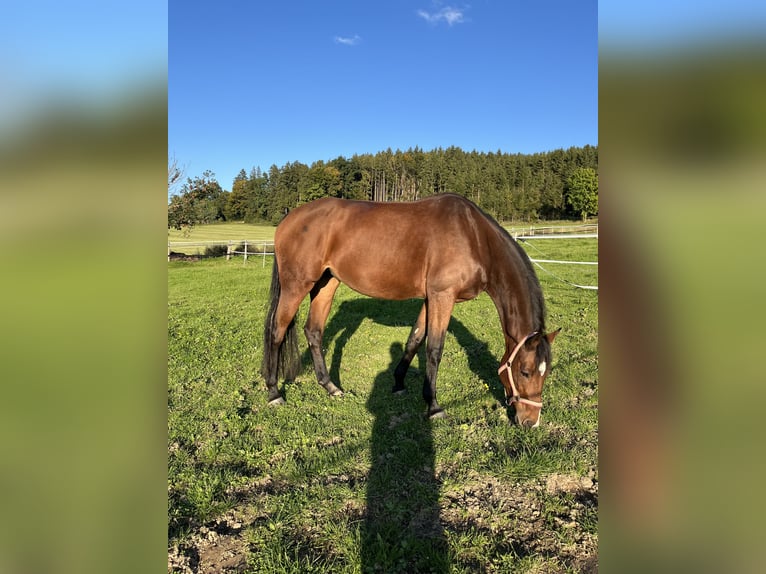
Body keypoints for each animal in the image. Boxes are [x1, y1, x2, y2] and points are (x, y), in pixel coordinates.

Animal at [260, 193, 559, 427]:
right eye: (525, 371)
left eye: (547, 372)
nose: (531, 421)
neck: (474, 237)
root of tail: (288, 220)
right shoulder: (442, 297)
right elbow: (434, 349)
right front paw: (434, 406)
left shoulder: (430, 298)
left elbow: (414, 340)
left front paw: (398, 384)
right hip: (297, 285)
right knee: (277, 330)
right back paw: (274, 393)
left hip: (326, 283)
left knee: (314, 331)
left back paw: (330, 386)